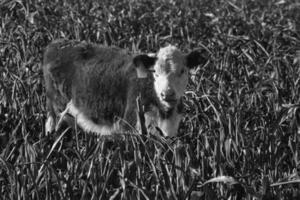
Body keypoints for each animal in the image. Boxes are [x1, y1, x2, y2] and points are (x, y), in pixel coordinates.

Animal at [42, 39, 206, 137]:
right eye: (155, 72)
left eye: (183, 71)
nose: (167, 94)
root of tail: (56, 44)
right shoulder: (130, 126)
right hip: (56, 108)